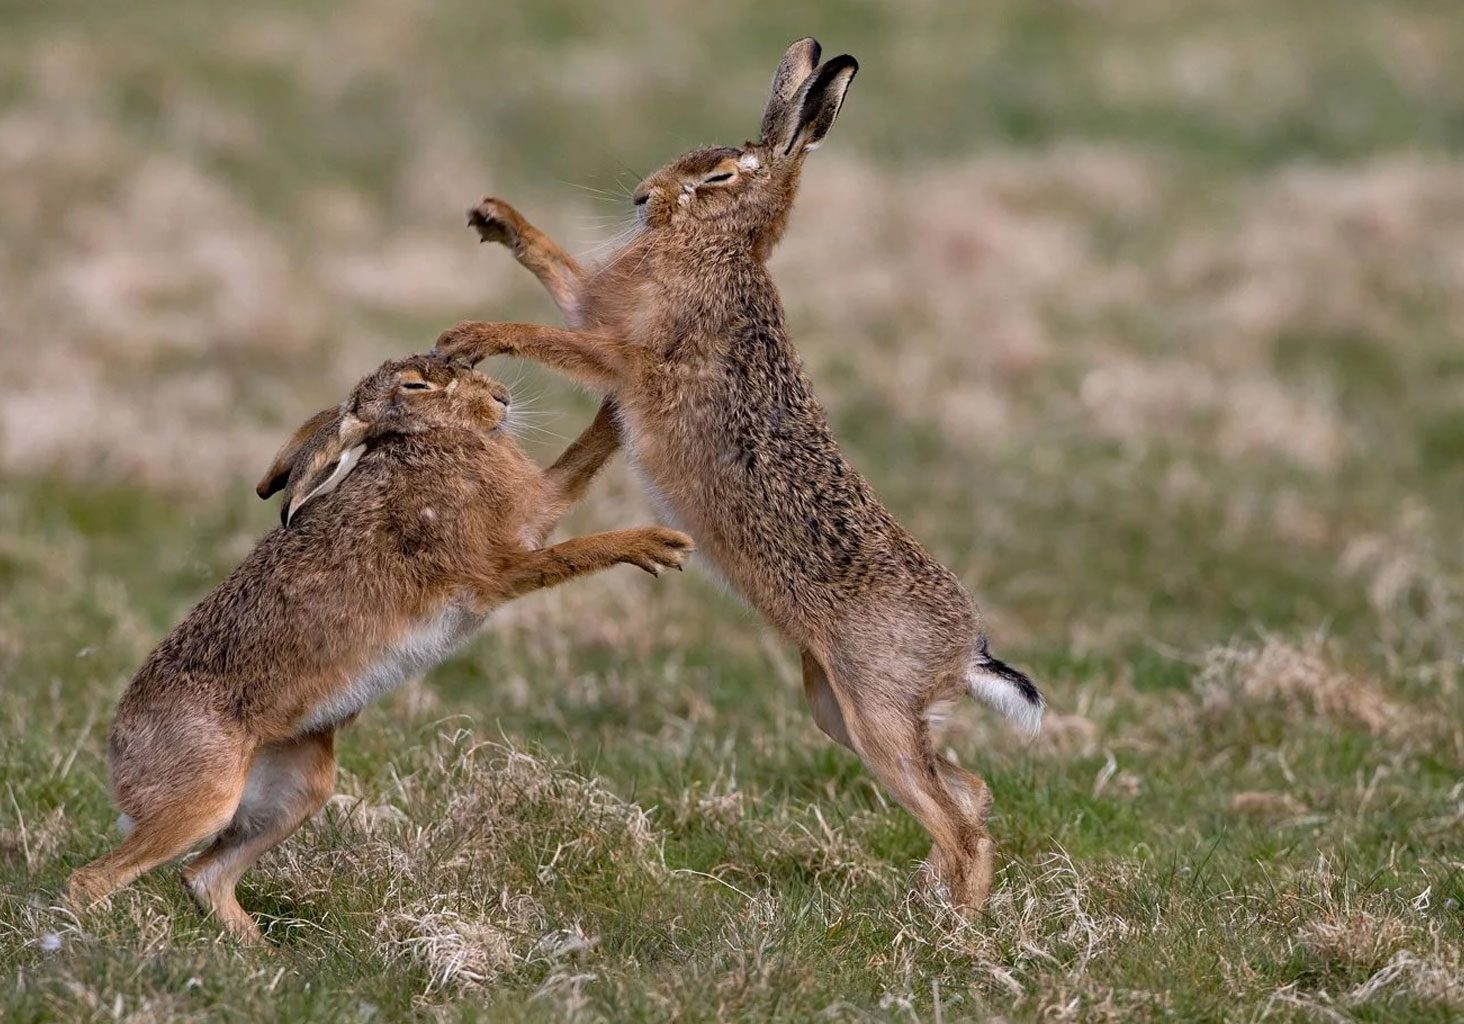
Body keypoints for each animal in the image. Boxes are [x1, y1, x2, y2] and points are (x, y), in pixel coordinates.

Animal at [67, 353, 693, 941]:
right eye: (415, 386)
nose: (501, 398)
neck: (428, 444)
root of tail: (119, 750)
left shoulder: (537, 504)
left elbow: (581, 459)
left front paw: (620, 402)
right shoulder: (499, 568)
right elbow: (572, 552)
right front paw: (658, 545)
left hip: (300, 788)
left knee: (204, 875)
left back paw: (267, 957)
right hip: (204, 797)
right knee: (95, 879)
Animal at [436, 38, 1043, 911]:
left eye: (720, 175)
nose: (643, 197)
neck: (719, 248)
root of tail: (968, 650)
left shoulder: (621, 353)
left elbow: (554, 337)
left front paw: (470, 336)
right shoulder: (596, 306)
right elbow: (558, 270)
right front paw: (497, 218)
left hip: (876, 712)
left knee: (960, 822)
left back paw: (953, 927)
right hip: (834, 706)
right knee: (971, 791)